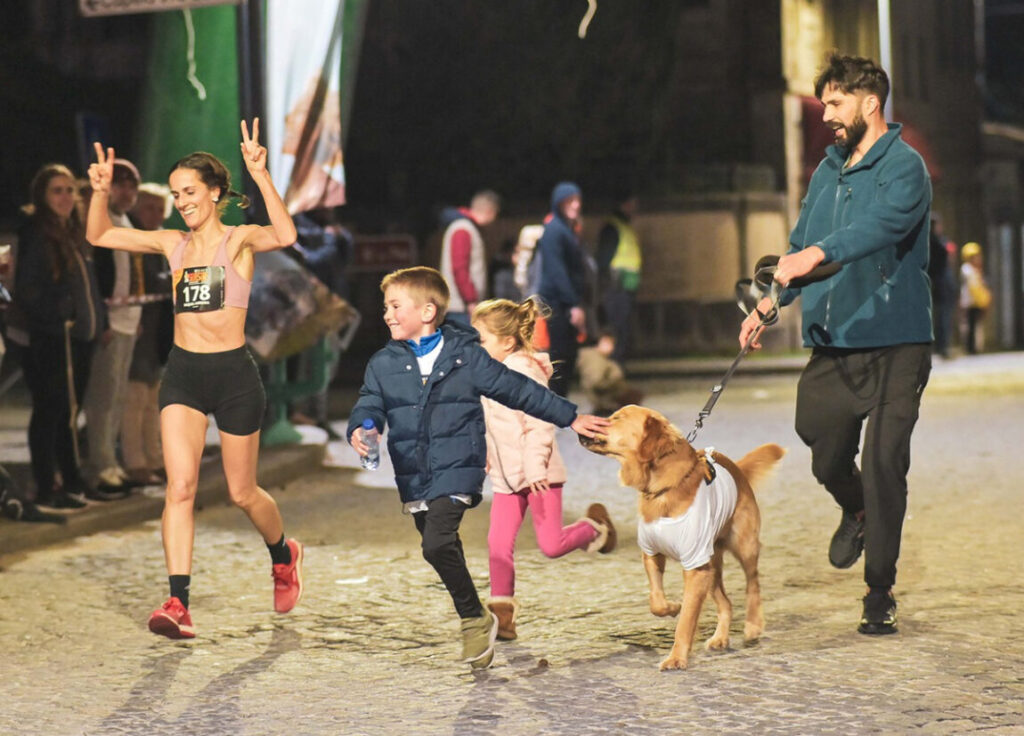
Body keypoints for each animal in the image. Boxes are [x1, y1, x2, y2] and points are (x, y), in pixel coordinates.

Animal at [580, 405, 784, 670]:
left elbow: (686, 620)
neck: (662, 489)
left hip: (743, 547)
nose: (583, 426)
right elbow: (656, 602)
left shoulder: (695, 567)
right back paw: (721, 637)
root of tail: (735, 467)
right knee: (726, 603)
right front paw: (672, 607)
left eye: (617, 418)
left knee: (753, 584)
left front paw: (676, 657)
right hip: (711, 566)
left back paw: (753, 625)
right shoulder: (653, 553)